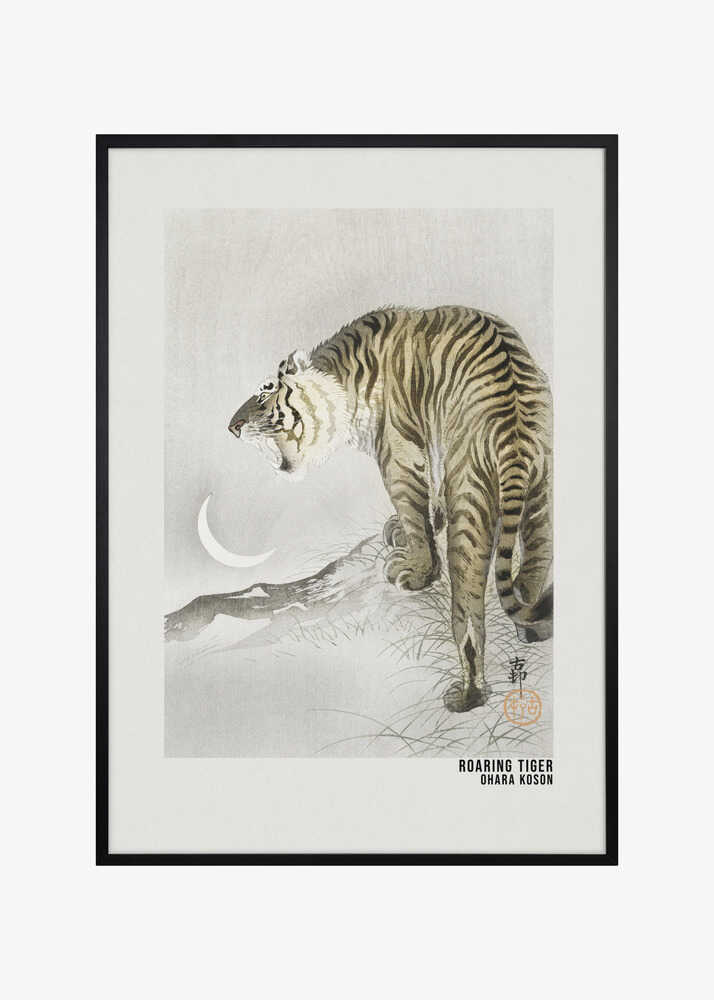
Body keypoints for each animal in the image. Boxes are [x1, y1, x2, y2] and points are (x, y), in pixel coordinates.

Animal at [229, 307, 552, 713]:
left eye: (264, 393)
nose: (232, 426)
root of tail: (514, 426)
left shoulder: (398, 452)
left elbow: (413, 507)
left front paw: (416, 570)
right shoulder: (432, 443)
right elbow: (429, 496)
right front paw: (411, 527)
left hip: (471, 496)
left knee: (468, 613)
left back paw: (468, 695)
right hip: (541, 492)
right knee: (534, 567)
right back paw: (534, 628)